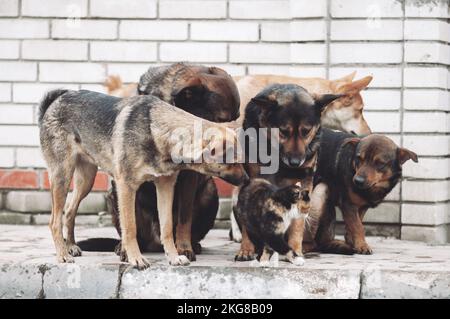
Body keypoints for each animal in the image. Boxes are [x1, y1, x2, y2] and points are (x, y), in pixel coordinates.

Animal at [81, 63, 243, 262]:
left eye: (236, 118)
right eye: (220, 119)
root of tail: (155, 242)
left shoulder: (189, 176)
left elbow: (184, 217)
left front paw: (183, 247)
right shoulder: (125, 180)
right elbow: (129, 220)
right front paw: (128, 249)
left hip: (210, 192)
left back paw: (192, 244)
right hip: (112, 192)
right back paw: (124, 246)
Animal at [236, 84, 342, 262]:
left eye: (306, 132)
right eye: (283, 132)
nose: (295, 163)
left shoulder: (303, 183)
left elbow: (297, 224)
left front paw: (295, 251)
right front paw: (246, 249)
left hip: (321, 192)